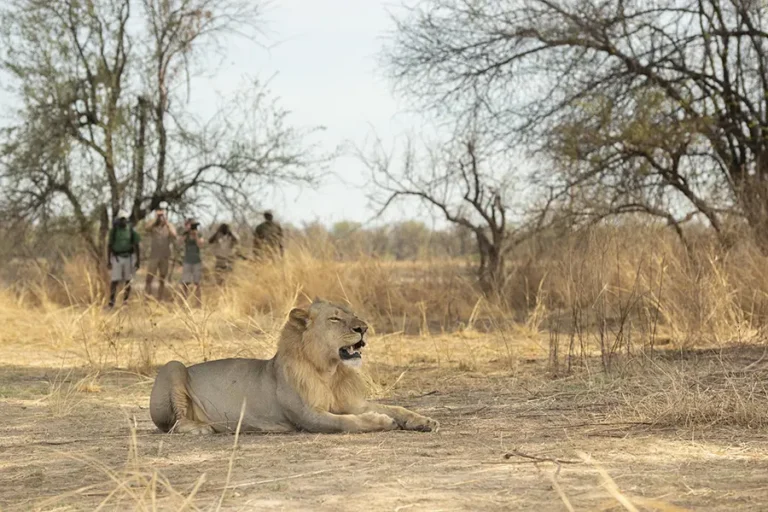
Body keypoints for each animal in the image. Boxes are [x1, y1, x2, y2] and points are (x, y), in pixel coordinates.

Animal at [149, 299, 439, 434]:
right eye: (335, 319)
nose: (363, 328)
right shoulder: (308, 415)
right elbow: (346, 422)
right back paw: (200, 427)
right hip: (173, 366)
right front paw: (379, 420)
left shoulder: (349, 402)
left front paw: (424, 420)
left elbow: (397, 408)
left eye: (354, 315)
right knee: (174, 424)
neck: (329, 371)